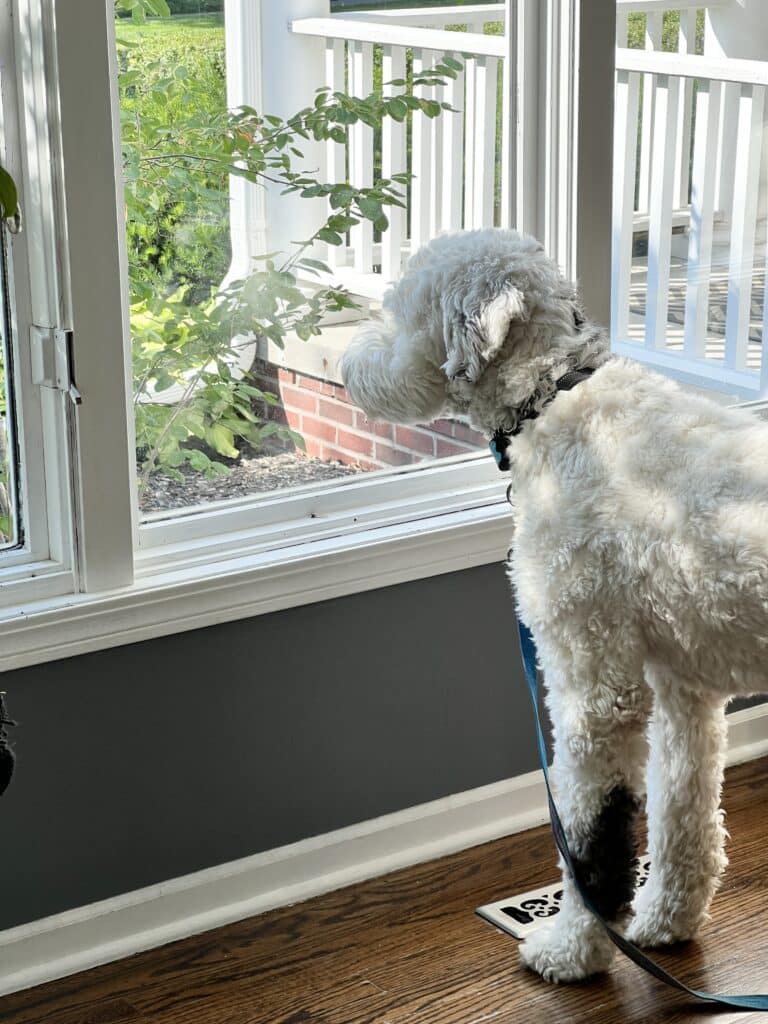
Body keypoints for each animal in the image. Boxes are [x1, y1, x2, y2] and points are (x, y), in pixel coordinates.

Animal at [342, 230, 768, 983]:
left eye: (396, 310)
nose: (344, 363)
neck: (552, 397)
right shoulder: (683, 688)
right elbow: (682, 814)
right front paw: (666, 921)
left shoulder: (593, 692)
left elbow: (592, 843)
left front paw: (573, 948)